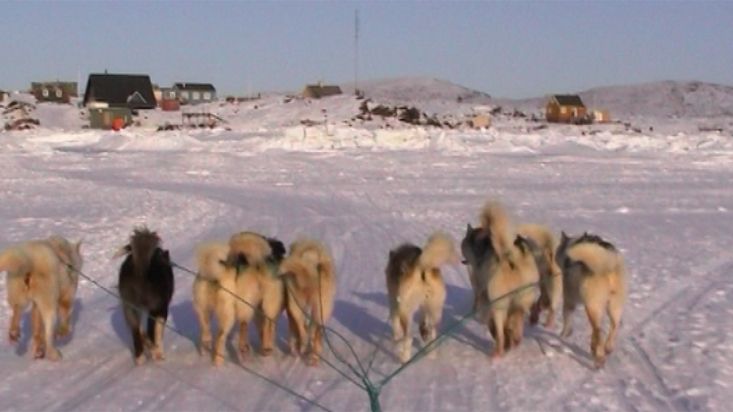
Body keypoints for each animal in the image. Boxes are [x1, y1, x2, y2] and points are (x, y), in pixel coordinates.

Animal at [192, 233, 284, 366]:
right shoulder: (268, 305)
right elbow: (267, 327)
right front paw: (267, 348)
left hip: (204, 310)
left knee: (206, 330)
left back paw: (208, 346)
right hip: (232, 312)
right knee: (226, 334)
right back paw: (223, 358)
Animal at [384, 233, 458, 362]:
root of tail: (422, 268)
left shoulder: (394, 305)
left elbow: (396, 328)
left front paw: (396, 341)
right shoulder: (423, 308)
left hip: (406, 312)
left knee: (408, 337)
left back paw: (404, 358)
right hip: (434, 310)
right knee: (433, 334)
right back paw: (431, 353)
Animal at [460, 202, 540, 358]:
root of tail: (511, 258)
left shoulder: (482, 292)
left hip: (499, 306)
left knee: (501, 333)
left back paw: (498, 352)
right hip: (522, 300)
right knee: (520, 318)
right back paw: (517, 338)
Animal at [556, 230, 624, 368]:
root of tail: (609, 265)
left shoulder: (569, 300)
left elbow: (567, 321)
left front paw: (563, 335)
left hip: (592, 307)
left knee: (598, 331)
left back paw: (599, 358)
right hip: (614, 307)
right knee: (613, 326)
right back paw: (607, 347)